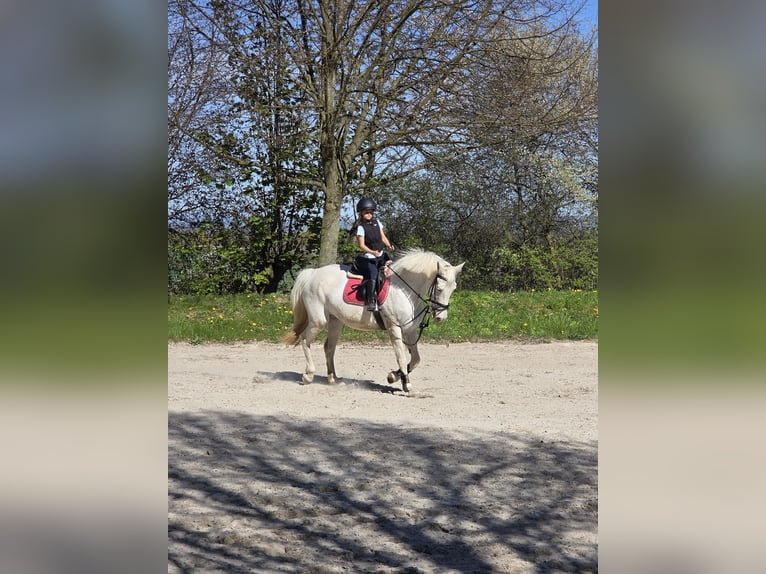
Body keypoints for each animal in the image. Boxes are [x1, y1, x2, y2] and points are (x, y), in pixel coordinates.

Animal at [281, 249, 464, 393]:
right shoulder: (394, 328)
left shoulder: (410, 331)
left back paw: (333, 380)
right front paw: (406, 385)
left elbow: (416, 360)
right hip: (318, 321)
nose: (440, 317)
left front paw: (393, 376)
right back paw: (308, 376)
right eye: (439, 288)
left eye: (453, 288)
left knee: (329, 348)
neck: (404, 290)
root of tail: (313, 273)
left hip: (335, 321)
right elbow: (401, 357)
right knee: (305, 340)